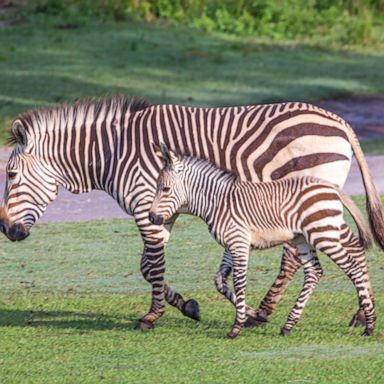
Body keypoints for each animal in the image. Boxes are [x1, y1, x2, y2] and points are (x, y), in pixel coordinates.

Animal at [149, 144, 376, 340]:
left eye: (165, 189)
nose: (151, 218)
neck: (218, 203)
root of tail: (329, 185)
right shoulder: (232, 245)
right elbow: (220, 281)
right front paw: (256, 315)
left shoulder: (239, 244)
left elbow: (239, 282)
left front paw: (236, 327)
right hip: (304, 238)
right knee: (314, 272)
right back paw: (288, 325)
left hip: (324, 234)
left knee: (353, 268)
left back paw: (369, 325)